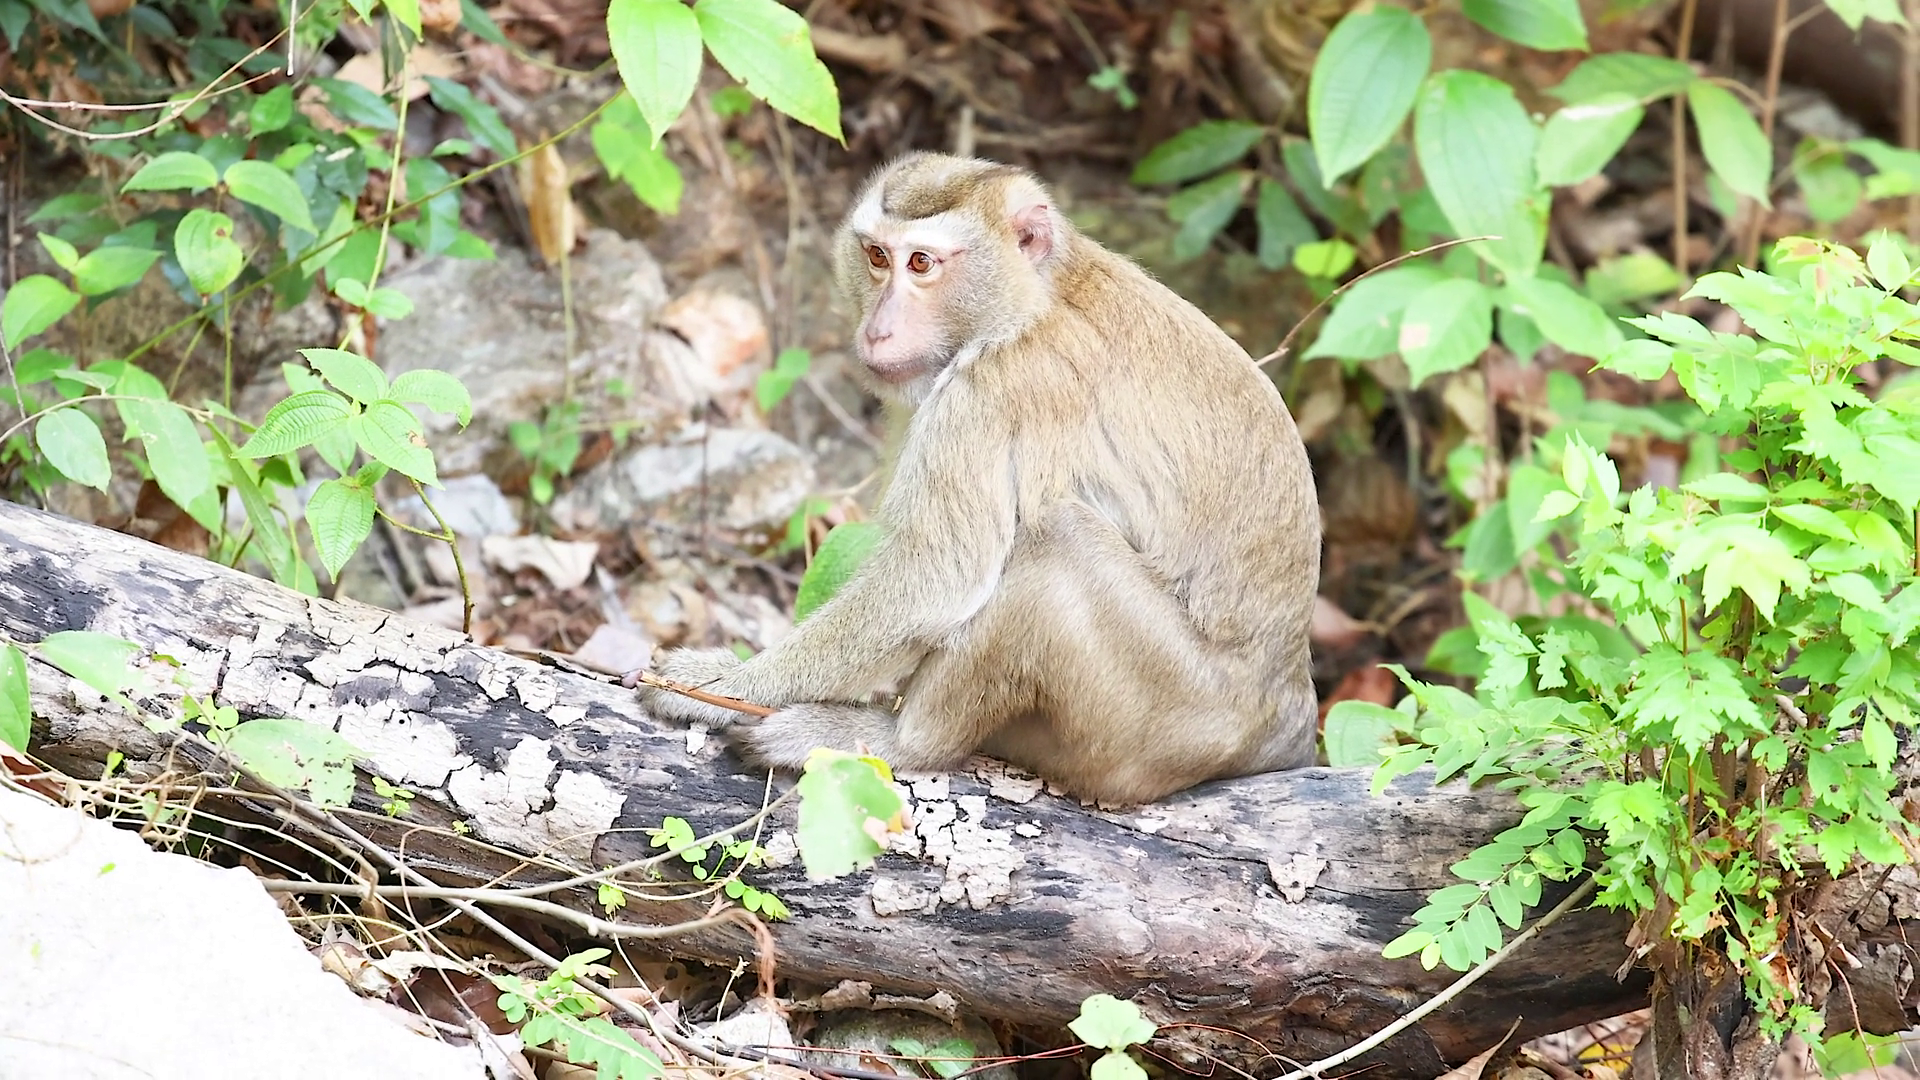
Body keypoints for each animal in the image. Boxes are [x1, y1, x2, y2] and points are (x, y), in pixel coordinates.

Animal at [635, 152, 1322, 805]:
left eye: (922, 263)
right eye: (877, 257)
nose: (878, 328)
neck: (1031, 302)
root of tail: (1289, 714)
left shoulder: (996, 391)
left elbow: (933, 580)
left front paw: (719, 684)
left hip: (1173, 721)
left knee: (1055, 545)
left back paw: (904, 740)